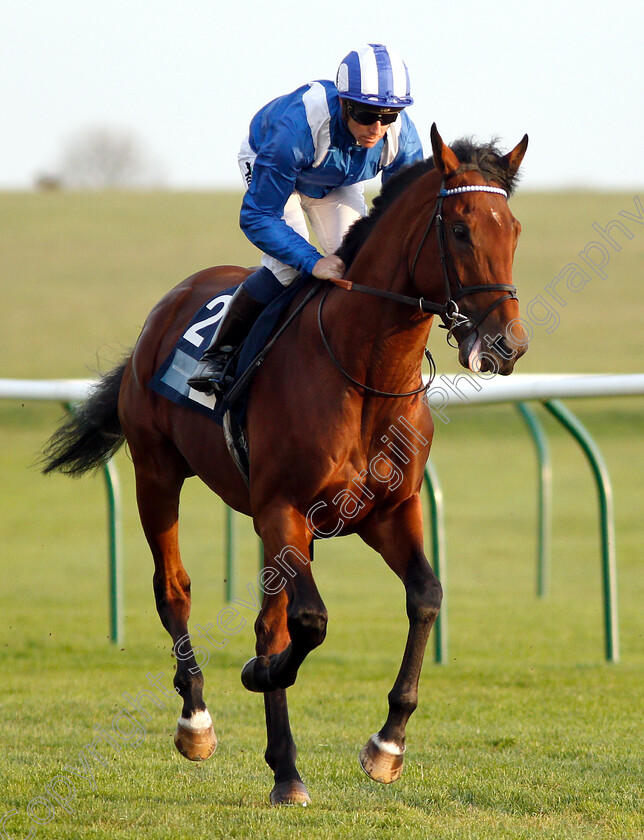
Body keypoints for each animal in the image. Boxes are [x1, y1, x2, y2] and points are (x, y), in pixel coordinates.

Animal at [44, 126, 528, 808]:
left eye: (513, 229)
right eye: (459, 229)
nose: (508, 345)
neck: (366, 376)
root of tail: (168, 305)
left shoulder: (390, 512)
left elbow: (424, 598)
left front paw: (388, 745)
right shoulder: (283, 510)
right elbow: (310, 621)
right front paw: (255, 678)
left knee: (267, 621)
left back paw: (286, 771)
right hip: (156, 473)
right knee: (175, 589)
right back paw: (197, 721)